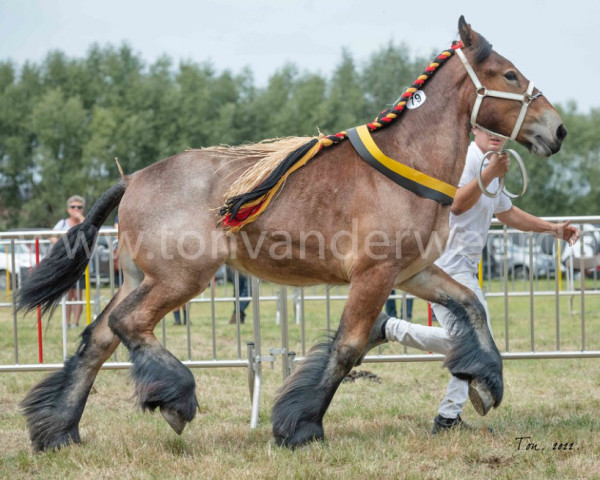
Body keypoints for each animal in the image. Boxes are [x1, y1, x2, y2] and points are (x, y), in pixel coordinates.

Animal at [15, 15, 568, 450]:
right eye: (509, 73)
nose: (558, 129)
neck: (405, 165)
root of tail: (133, 179)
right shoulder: (374, 274)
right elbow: (347, 347)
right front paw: (300, 425)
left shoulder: (412, 272)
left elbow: (471, 306)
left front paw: (486, 381)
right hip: (180, 278)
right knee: (128, 325)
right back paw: (174, 397)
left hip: (138, 278)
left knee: (98, 338)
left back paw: (58, 430)